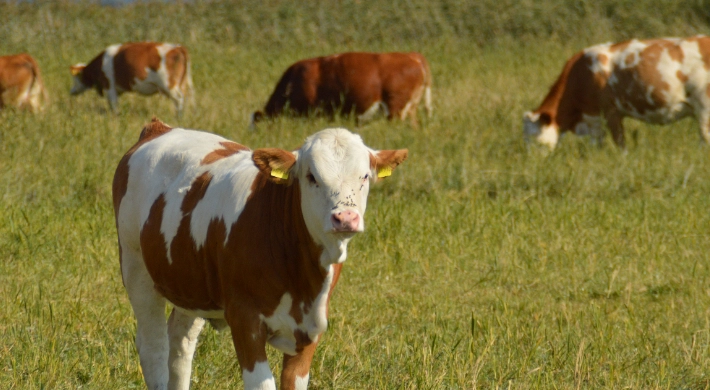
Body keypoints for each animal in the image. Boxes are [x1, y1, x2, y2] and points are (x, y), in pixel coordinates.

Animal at [114, 117, 408, 388]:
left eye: (364, 176)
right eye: (312, 176)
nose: (345, 217)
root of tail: (159, 128)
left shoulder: (310, 329)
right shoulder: (245, 321)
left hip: (190, 284)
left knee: (180, 343)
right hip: (135, 267)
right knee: (153, 346)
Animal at [524, 35, 710, 149]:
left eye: (535, 138)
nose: (531, 161)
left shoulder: (608, 112)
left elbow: (618, 142)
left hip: (704, 108)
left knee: (705, 137)